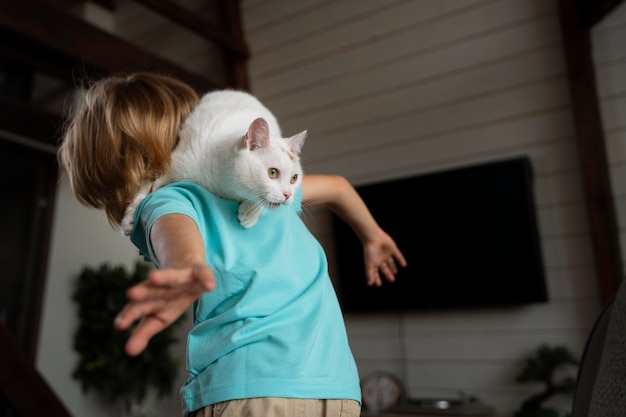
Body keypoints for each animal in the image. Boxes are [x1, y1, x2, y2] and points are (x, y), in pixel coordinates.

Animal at [120, 90, 306, 234]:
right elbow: (146, 188)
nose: (288, 194)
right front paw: (129, 219)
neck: (227, 187)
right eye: (272, 173)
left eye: (294, 179)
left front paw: (249, 214)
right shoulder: (176, 162)